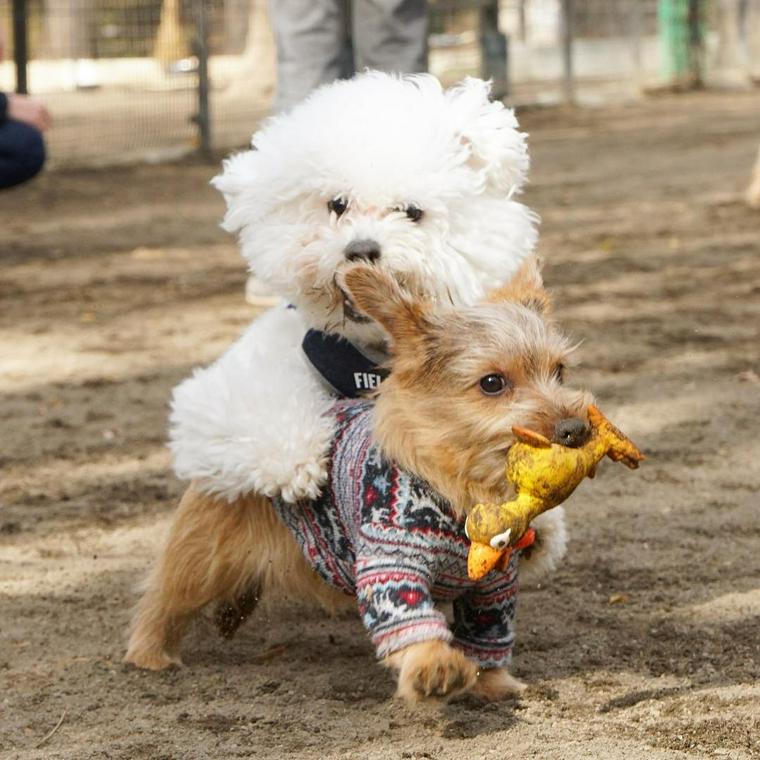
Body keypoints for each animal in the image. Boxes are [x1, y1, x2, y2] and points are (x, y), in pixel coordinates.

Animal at [124, 262, 592, 700]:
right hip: (203, 553)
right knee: (166, 597)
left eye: (560, 371)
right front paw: (433, 666)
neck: (461, 488)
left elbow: (488, 633)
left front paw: (492, 683)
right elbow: (407, 618)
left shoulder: (495, 585)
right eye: (492, 383)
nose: (576, 428)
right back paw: (149, 653)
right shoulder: (391, 562)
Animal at [168, 71, 564, 580]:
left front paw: (545, 525)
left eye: (411, 212)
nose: (360, 248)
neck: (369, 358)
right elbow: (256, 407)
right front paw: (295, 462)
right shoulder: (219, 396)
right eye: (337, 204)